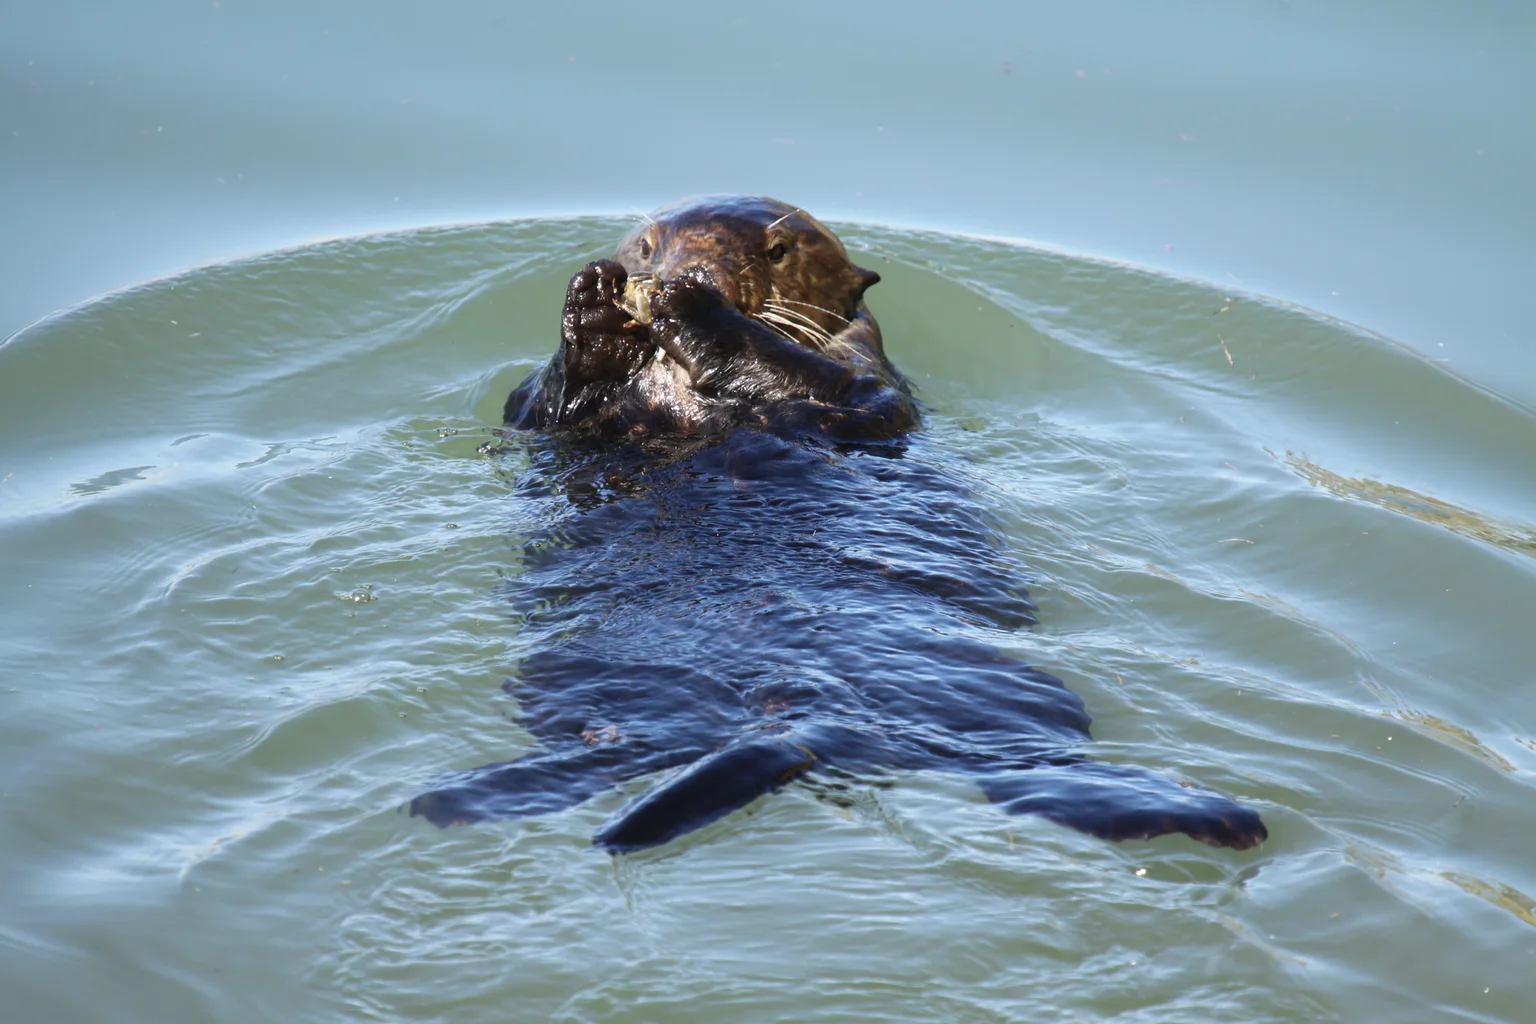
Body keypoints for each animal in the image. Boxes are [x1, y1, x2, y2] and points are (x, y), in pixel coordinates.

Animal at [411, 196, 1268, 853]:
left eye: (779, 251)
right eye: (648, 245)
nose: (683, 274)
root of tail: (795, 717)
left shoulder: (867, 386)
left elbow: (832, 392)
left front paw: (693, 309)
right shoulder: (559, 424)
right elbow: (544, 409)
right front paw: (592, 298)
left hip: (1008, 696)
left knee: (1026, 761)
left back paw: (1198, 813)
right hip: (569, 685)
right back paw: (469, 799)